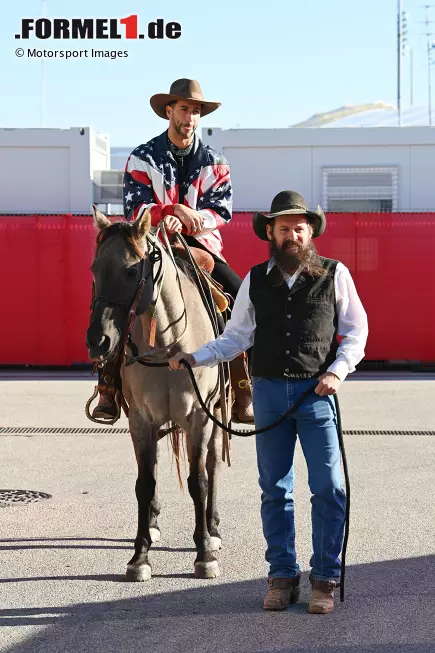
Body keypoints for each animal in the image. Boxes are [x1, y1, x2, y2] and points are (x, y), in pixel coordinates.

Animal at [85, 206, 225, 580]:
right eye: (94, 269)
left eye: (132, 269)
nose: (98, 341)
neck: (169, 345)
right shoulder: (141, 420)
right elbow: (144, 483)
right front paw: (140, 556)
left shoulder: (198, 418)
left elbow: (198, 480)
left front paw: (204, 553)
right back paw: (153, 521)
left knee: (212, 465)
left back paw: (213, 527)